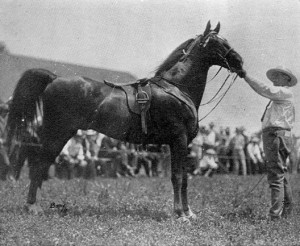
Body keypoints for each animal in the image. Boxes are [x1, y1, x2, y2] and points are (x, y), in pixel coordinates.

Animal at [5, 21, 244, 220]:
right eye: (216, 43)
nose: (239, 62)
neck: (177, 87)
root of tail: (54, 78)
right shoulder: (179, 139)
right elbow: (177, 176)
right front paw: (180, 214)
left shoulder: (181, 144)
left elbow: (183, 177)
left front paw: (188, 212)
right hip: (58, 134)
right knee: (38, 164)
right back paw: (32, 206)